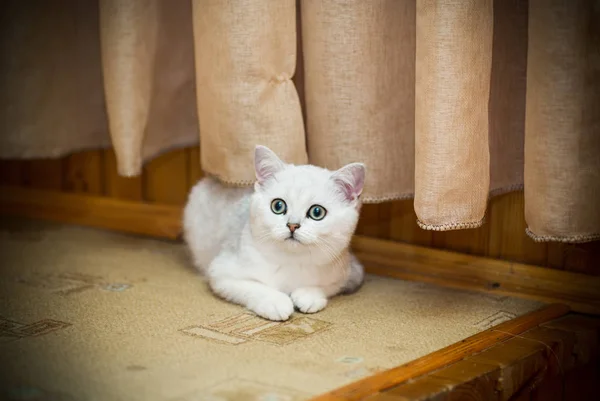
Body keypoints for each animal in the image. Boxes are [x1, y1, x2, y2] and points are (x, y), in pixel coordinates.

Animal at [182, 145, 366, 320]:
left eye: (317, 212)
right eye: (278, 206)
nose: (292, 225)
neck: (292, 262)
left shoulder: (351, 272)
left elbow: (330, 286)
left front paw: (308, 295)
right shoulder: (221, 272)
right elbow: (254, 286)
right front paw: (275, 302)